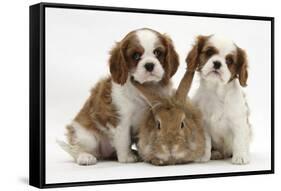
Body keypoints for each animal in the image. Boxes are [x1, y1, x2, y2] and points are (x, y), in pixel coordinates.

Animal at [57, 27, 178, 165]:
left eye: (157, 53)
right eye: (136, 56)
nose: (149, 65)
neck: (146, 87)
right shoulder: (120, 119)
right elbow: (123, 139)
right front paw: (126, 157)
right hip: (87, 137)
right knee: (76, 150)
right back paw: (85, 157)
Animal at [187, 35, 250, 165]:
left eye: (229, 60)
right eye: (209, 52)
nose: (217, 63)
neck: (216, 91)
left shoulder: (238, 121)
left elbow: (239, 139)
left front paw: (240, 157)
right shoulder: (203, 123)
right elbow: (206, 141)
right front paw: (203, 156)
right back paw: (215, 154)